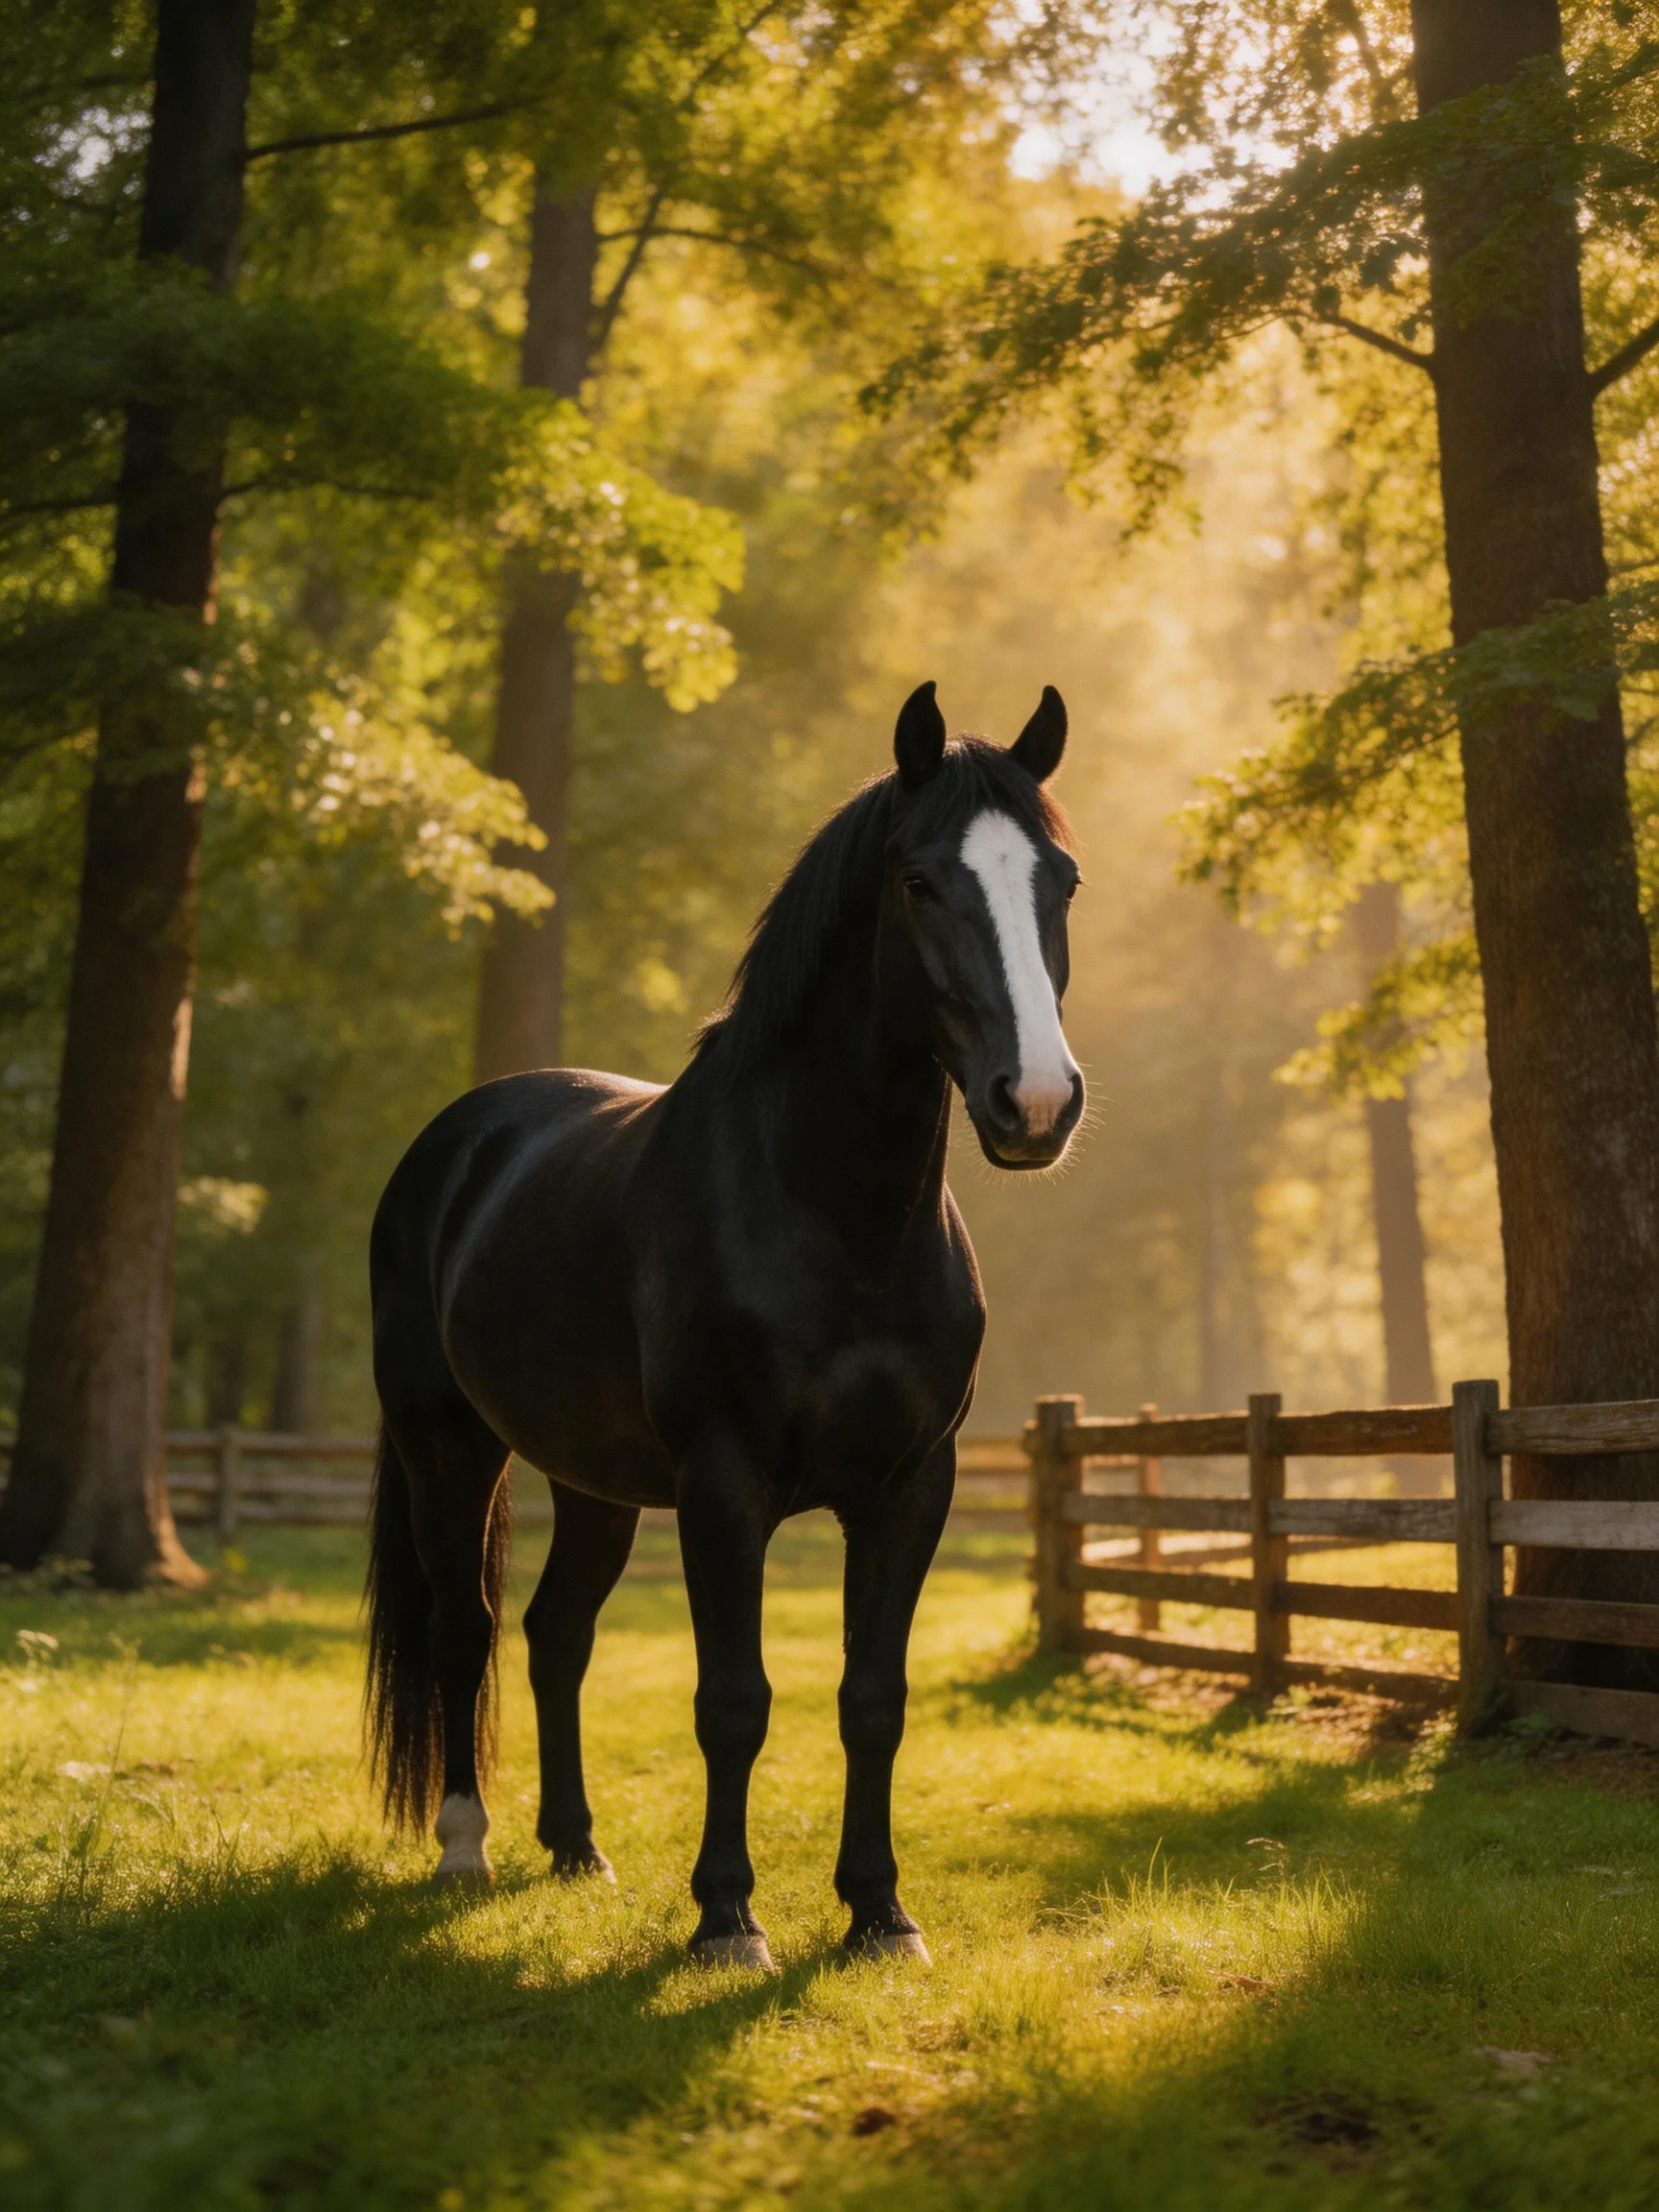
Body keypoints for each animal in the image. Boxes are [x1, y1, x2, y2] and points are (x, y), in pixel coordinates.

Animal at [364, 679, 1085, 1969]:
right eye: (919, 881)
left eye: (1063, 880)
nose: (1036, 1104)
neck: (831, 1212)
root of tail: (455, 1141)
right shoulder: (723, 1485)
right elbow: (734, 1701)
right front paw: (727, 1920)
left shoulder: (914, 1486)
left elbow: (873, 1698)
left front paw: (879, 1914)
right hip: (448, 1447)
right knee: (465, 1625)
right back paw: (465, 1846)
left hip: (591, 1484)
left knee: (554, 1633)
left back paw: (576, 1847)